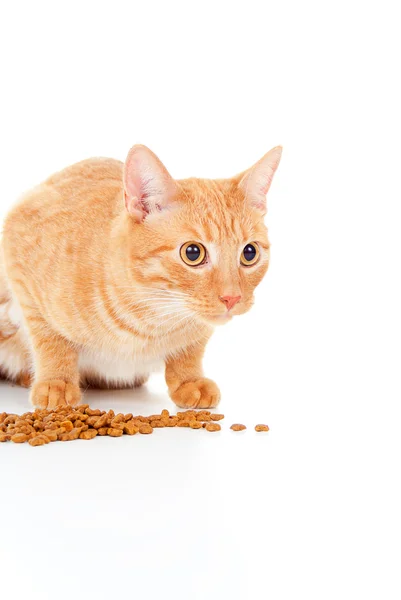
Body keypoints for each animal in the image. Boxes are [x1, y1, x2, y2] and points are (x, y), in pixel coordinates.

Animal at [0, 144, 282, 408]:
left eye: (249, 253)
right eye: (193, 253)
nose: (232, 298)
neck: (151, 317)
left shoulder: (199, 327)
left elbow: (191, 349)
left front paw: (188, 379)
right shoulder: (18, 257)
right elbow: (49, 338)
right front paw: (56, 381)